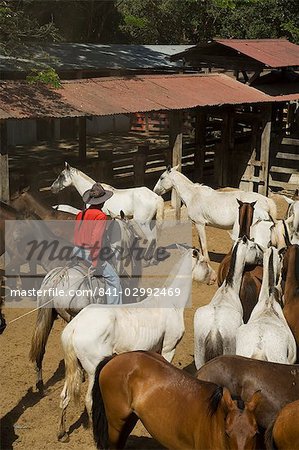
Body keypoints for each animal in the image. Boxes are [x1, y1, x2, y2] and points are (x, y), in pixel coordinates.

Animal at [58, 244, 209, 442]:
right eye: (204, 262)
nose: (214, 277)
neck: (171, 303)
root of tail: (75, 325)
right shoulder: (169, 348)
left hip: (74, 368)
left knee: (64, 397)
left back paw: (62, 434)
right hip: (92, 370)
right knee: (89, 401)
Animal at [92, 352, 262, 450]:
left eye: (255, 433)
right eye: (227, 433)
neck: (213, 420)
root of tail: (116, 357)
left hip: (129, 419)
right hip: (116, 422)